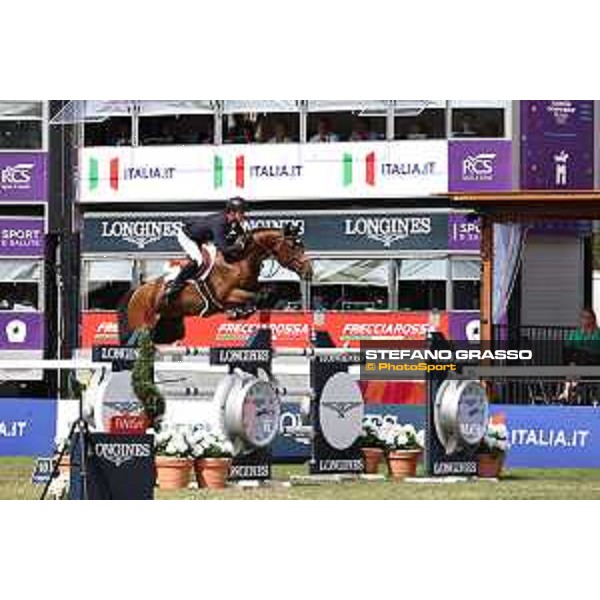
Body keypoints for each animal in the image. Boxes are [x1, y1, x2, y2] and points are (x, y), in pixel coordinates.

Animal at [118, 225, 314, 344]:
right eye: (293, 246)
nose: (309, 271)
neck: (239, 262)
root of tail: (138, 290)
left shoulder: (251, 287)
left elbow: (267, 290)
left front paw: (244, 311)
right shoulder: (226, 296)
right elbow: (253, 296)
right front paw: (239, 312)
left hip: (169, 326)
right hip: (141, 324)